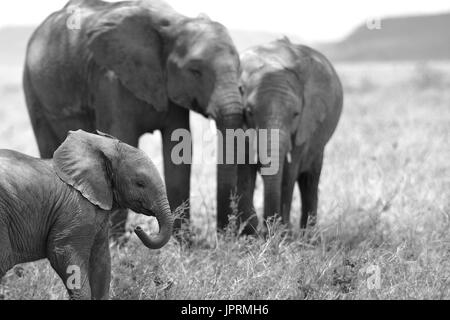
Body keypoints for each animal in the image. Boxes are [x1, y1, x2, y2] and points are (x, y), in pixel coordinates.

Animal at [23, 0, 244, 238]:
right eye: (195, 71)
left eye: (240, 67)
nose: (226, 233)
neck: (175, 23)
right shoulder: (111, 80)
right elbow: (122, 140)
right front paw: (116, 240)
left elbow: (178, 149)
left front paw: (182, 241)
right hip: (32, 88)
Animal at [237, 37, 342, 234]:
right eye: (249, 112)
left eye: (295, 114)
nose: (265, 229)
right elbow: (245, 170)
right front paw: (251, 234)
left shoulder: (304, 124)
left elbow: (288, 174)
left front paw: (281, 234)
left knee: (310, 181)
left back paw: (309, 237)